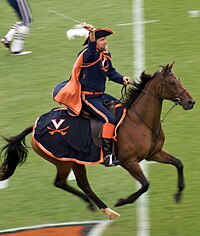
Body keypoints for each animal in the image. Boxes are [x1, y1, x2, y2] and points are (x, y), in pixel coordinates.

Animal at [0, 62, 195, 219]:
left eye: (178, 79)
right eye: (172, 83)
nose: (190, 102)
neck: (140, 121)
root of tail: (34, 126)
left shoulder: (154, 153)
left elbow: (179, 163)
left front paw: (178, 194)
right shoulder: (129, 162)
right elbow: (145, 184)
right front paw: (122, 201)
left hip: (75, 161)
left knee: (73, 184)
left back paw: (94, 205)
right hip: (65, 161)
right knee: (69, 183)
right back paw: (108, 210)